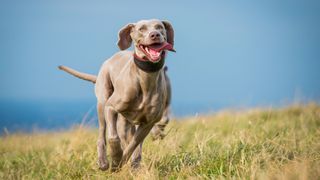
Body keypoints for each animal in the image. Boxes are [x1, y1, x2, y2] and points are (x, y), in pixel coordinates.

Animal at [59, 19, 175, 171]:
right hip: (103, 102)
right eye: (141, 28)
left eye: (159, 27)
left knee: (132, 141)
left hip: (128, 120)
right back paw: (103, 161)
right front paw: (115, 158)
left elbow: (133, 145)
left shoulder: (148, 122)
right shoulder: (111, 108)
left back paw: (134, 165)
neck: (145, 78)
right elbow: (113, 138)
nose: (155, 35)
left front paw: (121, 162)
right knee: (102, 134)